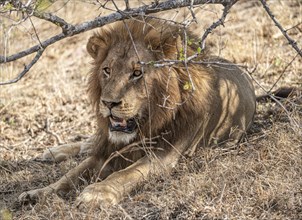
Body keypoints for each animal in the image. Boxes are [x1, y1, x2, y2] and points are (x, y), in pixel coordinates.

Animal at [18, 18, 255, 206]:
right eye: (107, 70)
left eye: (137, 73)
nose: (108, 103)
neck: (150, 122)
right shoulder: (105, 150)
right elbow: (71, 174)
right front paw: (38, 193)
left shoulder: (163, 155)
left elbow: (126, 174)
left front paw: (96, 194)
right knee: (87, 143)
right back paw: (53, 152)